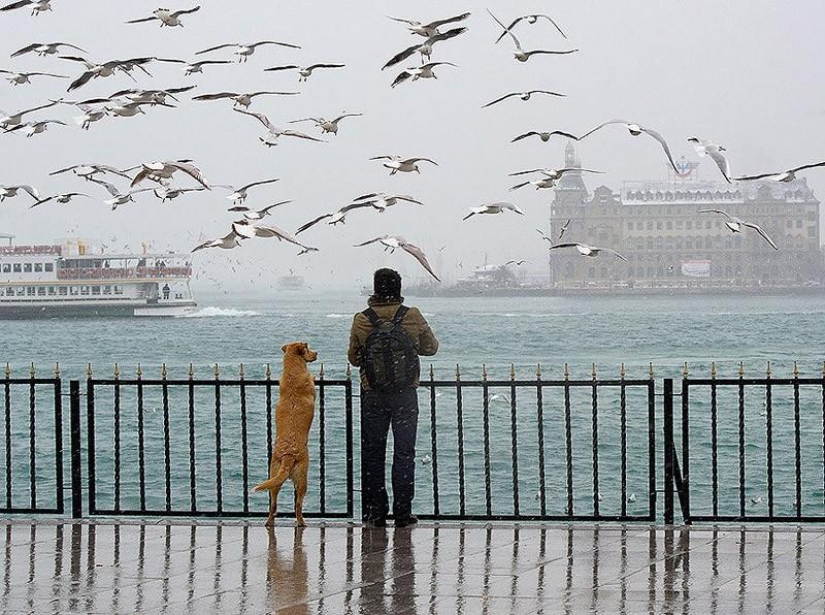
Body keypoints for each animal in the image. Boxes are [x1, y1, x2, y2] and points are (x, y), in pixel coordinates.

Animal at [253, 342, 318, 524]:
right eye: (308, 349)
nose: (316, 353)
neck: (292, 373)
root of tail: (288, 456)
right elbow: (312, 380)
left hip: (274, 476)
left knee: (273, 504)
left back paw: (269, 521)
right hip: (302, 478)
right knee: (298, 505)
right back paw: (301, 522)